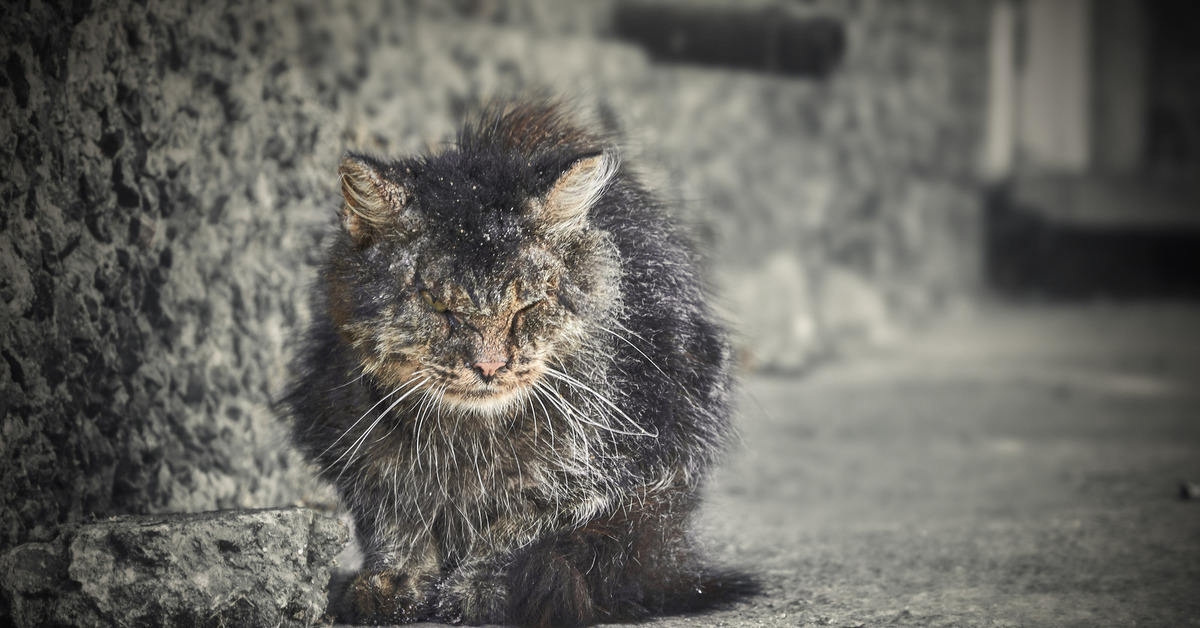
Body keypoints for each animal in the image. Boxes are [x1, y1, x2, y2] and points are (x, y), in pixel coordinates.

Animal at [284, 98, 744, 624]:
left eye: (526, 306)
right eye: (439, 306)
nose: (490, 366)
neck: (467, 442)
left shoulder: (605, 468)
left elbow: (514, 530)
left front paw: (480, 589)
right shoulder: (349, 441)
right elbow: (397, 523)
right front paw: (392, 582)